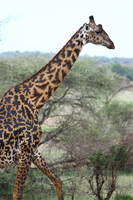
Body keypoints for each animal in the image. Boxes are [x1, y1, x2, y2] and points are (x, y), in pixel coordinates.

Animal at [0, 16, 114, 200]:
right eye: (97, 31)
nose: (112, 44)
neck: (35, 101)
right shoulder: (25, 151)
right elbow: (17, 193)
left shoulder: (33, 150)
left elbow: (58, 180)